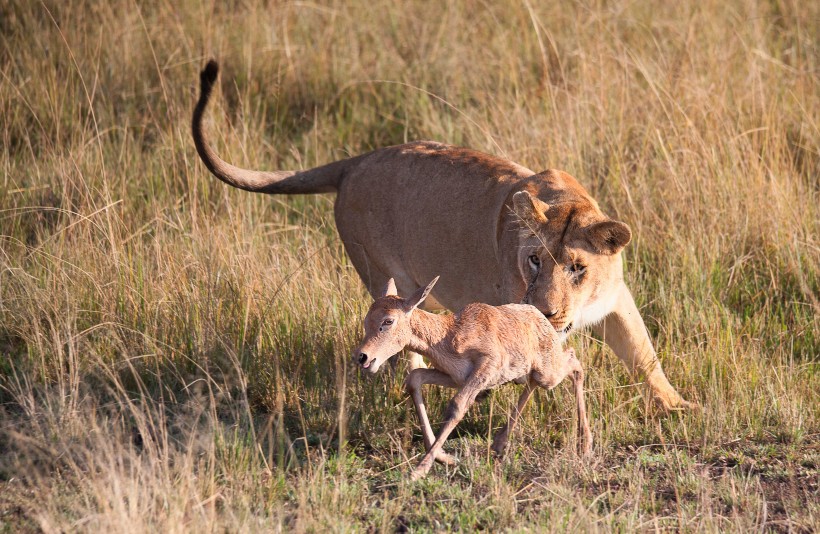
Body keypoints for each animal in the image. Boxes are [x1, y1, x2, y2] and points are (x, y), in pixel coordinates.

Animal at [356, 276, 592, 482]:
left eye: (388, 320)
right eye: (367, 318)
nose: (362, 356)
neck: (449, 334)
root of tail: (539, 316)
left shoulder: (486, 366)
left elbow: (457, 405)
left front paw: (418, 472)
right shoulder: (455, 377)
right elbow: (414, 378)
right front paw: (446, 459)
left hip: (548, 373)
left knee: (574, 363)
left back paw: (585, 444)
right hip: (530, 374)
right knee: (536, 382)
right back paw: (499, 443)